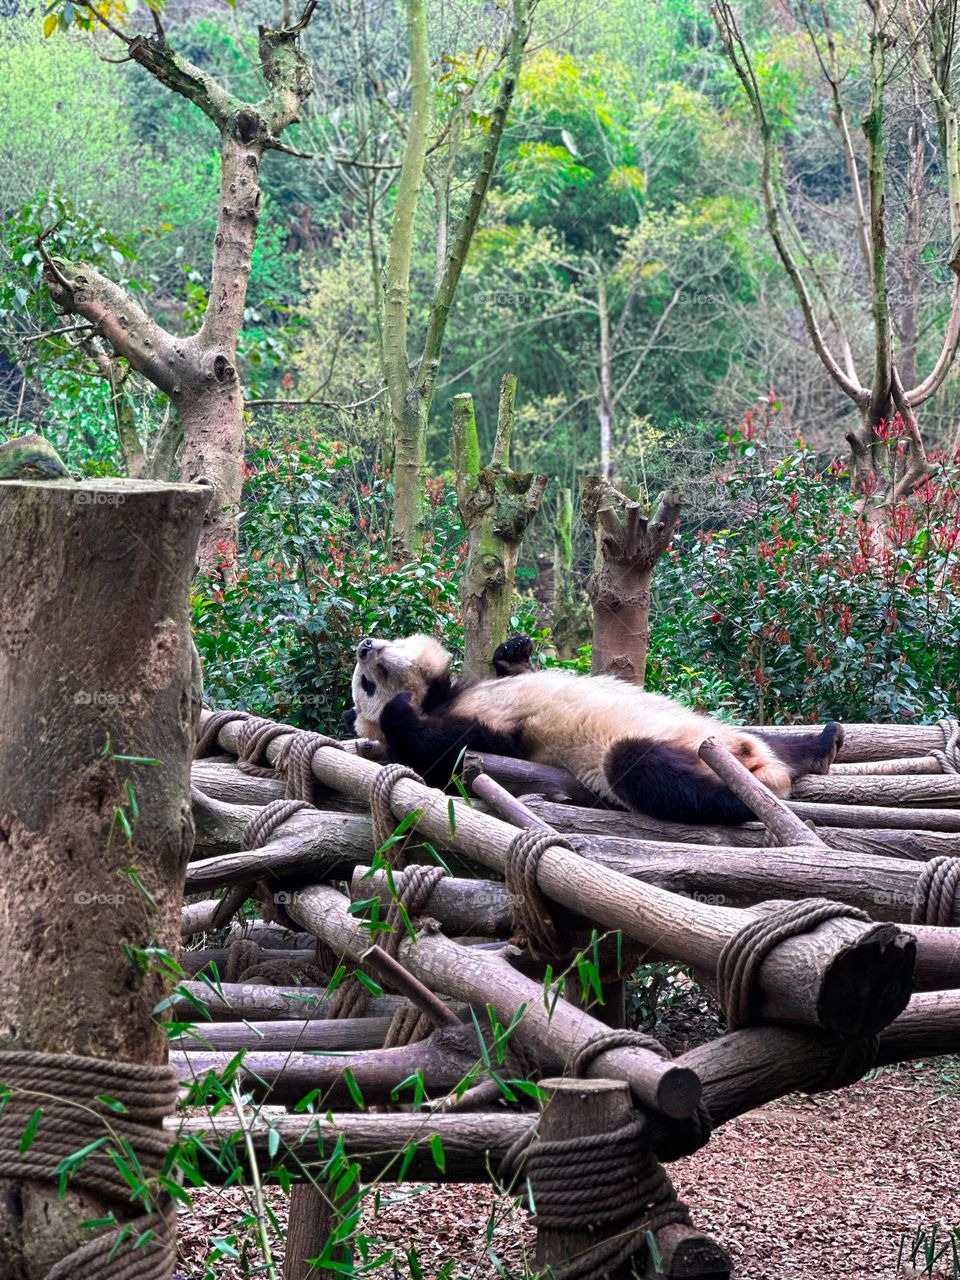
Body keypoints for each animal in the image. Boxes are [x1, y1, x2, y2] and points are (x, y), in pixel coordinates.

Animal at [345, 634, 839, 824]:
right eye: (367, 683)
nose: (364, 645)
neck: (442, 697)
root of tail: (761, 770)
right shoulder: (499, 733)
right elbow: (454, 752)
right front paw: (398, 711)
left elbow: (515, 672)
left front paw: (512, 650)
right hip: (638, 755)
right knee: (643, 770)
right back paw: (749, 801)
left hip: (718, 733)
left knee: (777, 743)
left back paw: (824, 742)